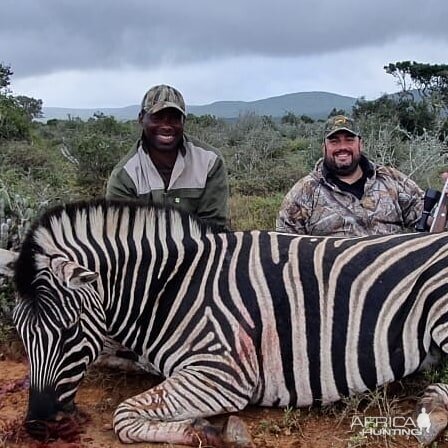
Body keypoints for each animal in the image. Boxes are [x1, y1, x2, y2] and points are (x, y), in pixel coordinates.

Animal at [10, 200, 448, 448]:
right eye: (21, 334)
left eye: (70, 331)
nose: (38, 425)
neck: (170, 288)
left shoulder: (223, 373)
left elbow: (123, 415)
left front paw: (212, 431)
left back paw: (432, 412)